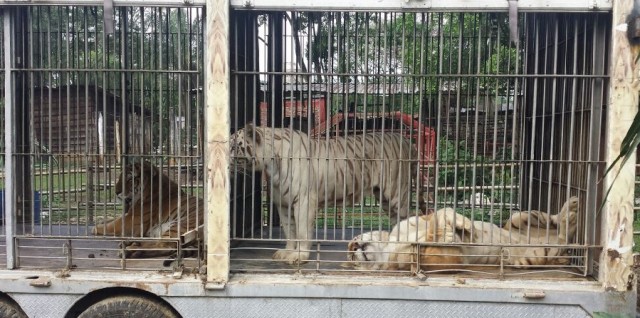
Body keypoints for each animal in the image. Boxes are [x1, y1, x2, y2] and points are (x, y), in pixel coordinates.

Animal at [350, 196, 580, 270]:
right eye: (351, 258)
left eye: (353, 241)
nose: (353, 248)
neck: (387, 246)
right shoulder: (446, 260)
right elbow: (433, 242)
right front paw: (448, 236)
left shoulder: (420, 220)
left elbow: (442, 213)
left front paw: (465, 227)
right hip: (539, 252)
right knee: (563, 239)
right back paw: (571, 221)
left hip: (518, 217)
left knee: (554, 223)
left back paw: (571, 207)